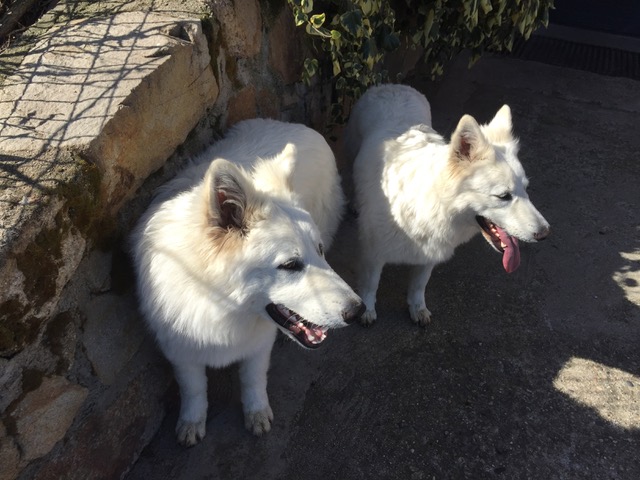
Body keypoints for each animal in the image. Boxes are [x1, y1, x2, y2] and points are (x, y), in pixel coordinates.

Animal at [130, 119, 364, 446]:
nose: (358, 311)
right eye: (289, 265)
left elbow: (252, 380)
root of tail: (300, 126)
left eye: (318, 251)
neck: (218, 302)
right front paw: (191, 421)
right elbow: (194, 389)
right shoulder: (180, 351)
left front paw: (256, 413)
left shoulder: (258, 344)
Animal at [344, 84, 552, 328]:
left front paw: (417, 308)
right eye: (503, 196)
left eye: (526, 189)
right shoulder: (373, 253)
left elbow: (419, 286)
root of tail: (392, 86)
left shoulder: (430, 253)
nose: (545, 233)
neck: (430, 203)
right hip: (351, 154)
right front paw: (368, 309)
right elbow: (371, 284)